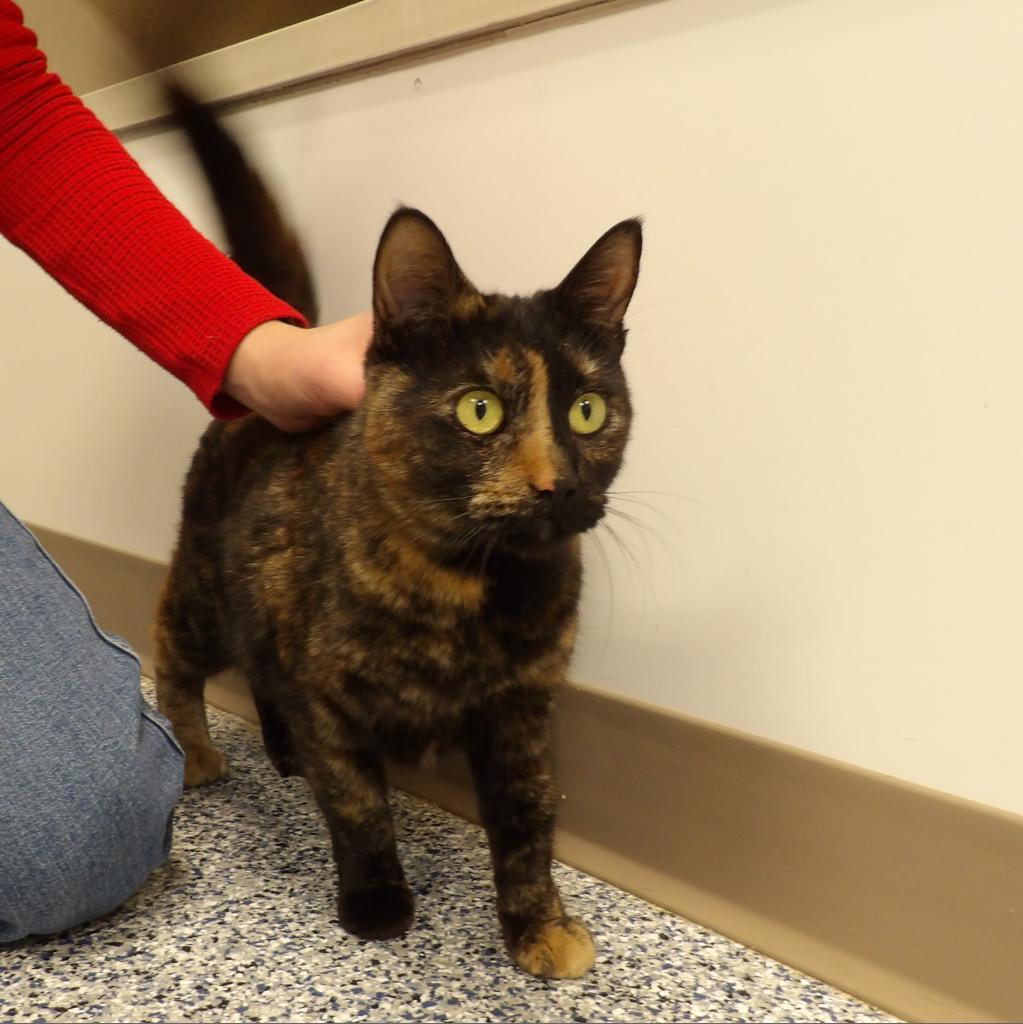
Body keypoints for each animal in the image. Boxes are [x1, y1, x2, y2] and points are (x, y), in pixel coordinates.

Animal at [153, 90, 638, 974]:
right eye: (479, 409)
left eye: (588, 412)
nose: (557, 484)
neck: (469, 593)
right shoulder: (328, 698)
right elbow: (357, 809)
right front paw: (376, 901)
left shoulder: (521, 713)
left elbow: (527, 826)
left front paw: (537, 926)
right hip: (206, 593)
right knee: (173, 652)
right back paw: (199, 754)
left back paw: (281, 750)